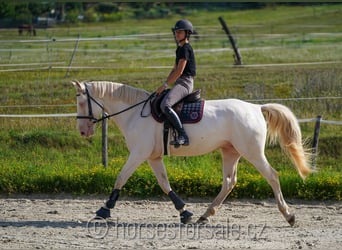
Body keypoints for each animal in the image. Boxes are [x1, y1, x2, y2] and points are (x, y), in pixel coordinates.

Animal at [72, 80, 312, 227]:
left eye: (81, 102)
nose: (83, 131)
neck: (135, 113)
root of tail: (256, 108)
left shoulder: (139, 154)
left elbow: (121, 178)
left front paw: (104, 209)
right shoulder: (152, 157)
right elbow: (164, 183)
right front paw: (184, 212)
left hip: (251, 152)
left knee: (272, 175)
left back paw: (289, 216)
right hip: (230, 152)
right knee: (229, 181)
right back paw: (205, 215)